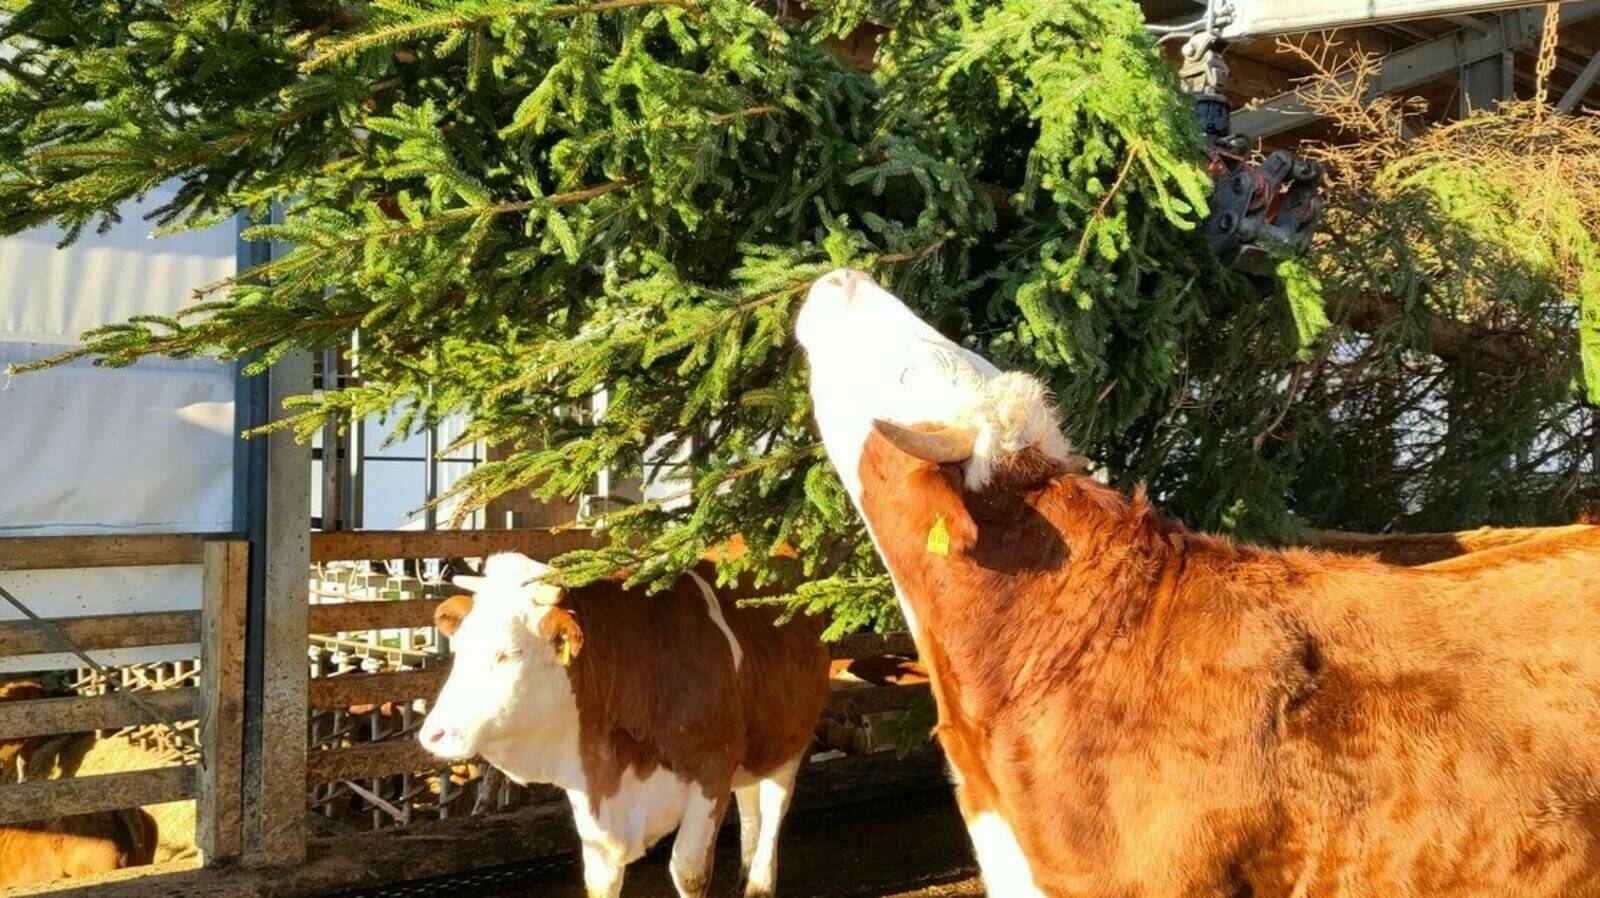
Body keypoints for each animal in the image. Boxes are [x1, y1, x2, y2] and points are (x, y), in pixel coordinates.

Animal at [418, 552, 830, 898]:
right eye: (460, 647)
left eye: (509, 653)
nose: (431, 734)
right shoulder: (590, 788)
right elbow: (600, 878)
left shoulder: (712, 769)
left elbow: (689, 871)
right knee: (749, 803)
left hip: (791, 740)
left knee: (774, 807)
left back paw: (759, 883)